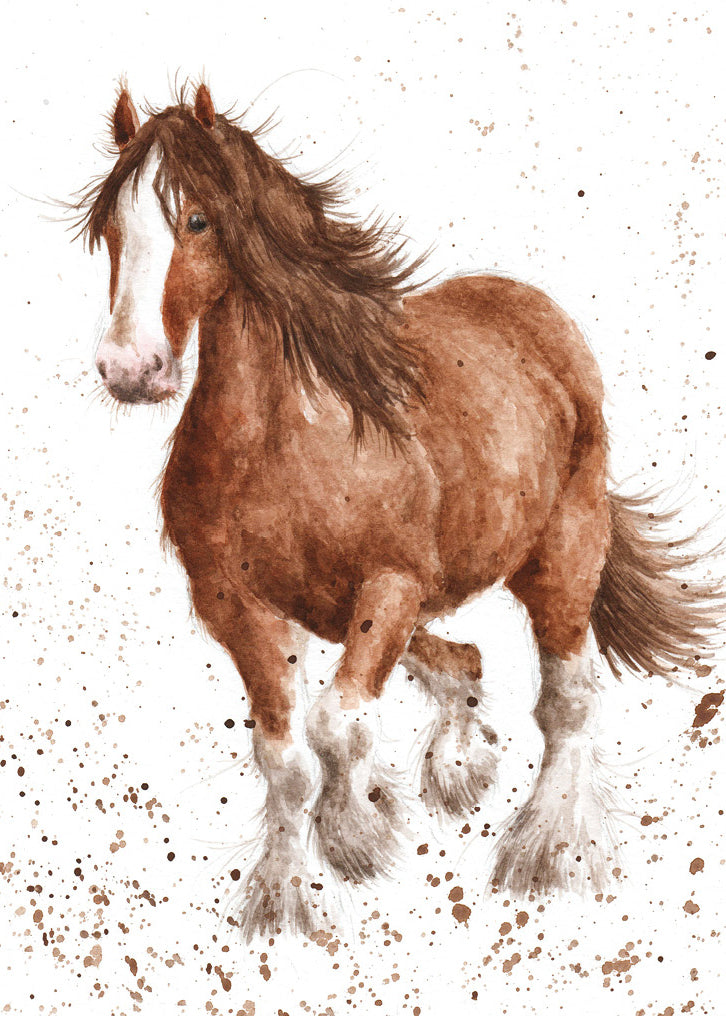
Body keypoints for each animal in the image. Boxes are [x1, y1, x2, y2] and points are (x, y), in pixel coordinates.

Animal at [75, 82, 720, 940]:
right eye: (111, 229)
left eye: (198, 220)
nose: (130, 368)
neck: (282, 440)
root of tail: (536, 317)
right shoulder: (238, 608)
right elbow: (284, 760)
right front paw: (285, 901)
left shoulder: (389, 587)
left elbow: (334, 727)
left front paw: (355, 838)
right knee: (464, 663)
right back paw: (462, 768)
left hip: (562, 555)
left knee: (569, 701)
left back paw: (550, 854)